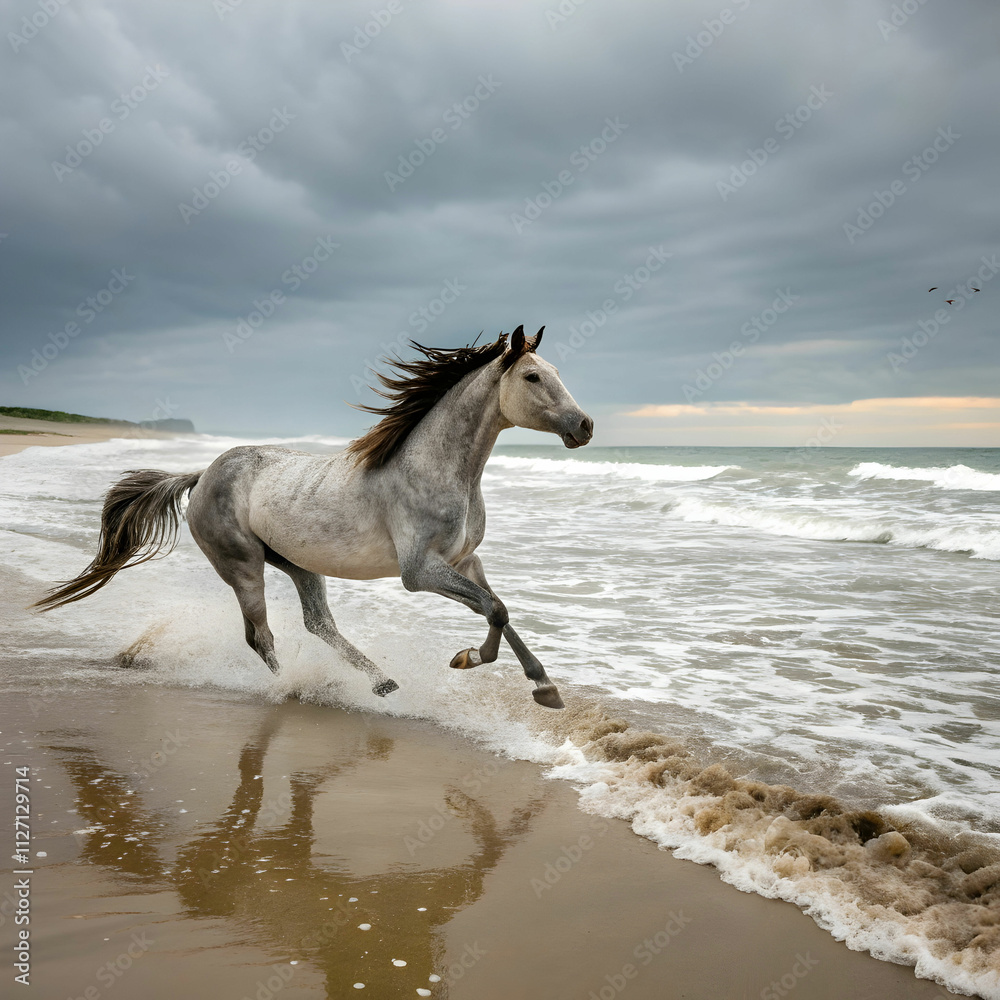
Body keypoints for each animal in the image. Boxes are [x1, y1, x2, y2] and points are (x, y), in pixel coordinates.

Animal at [34, 325, 594, 709]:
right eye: (532, 376)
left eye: (559, 374)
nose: (585, 426)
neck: (435, 468)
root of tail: (202, 474)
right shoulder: (419, 572)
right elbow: (493, 609)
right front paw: (493, 668)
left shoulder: (464, 561)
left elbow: (498, 608)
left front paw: (536, 683)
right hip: (242, 566)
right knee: (260, 636)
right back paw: (290, 688)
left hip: (298, 564)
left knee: (318, 622)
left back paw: (382, 682)